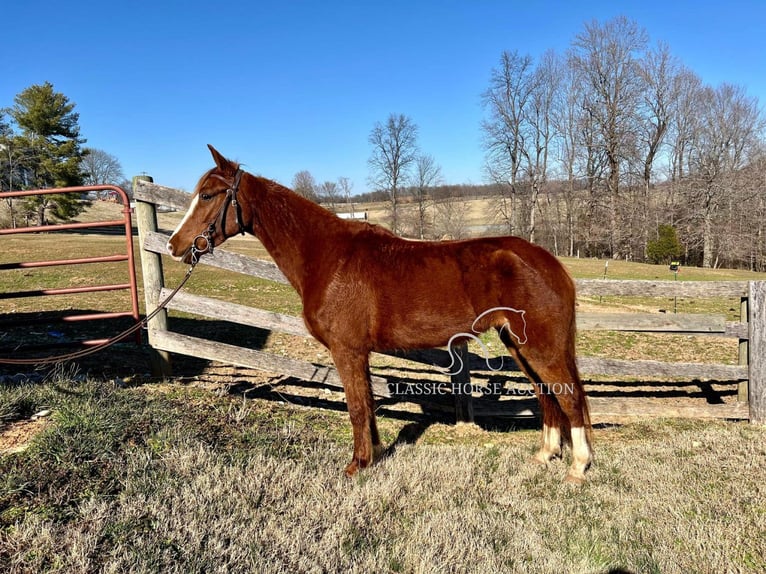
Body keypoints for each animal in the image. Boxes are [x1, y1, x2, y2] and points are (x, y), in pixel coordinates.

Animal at [166, 146, 592, 484]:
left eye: (207, 195)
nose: (175, 245)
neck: (328, 257)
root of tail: (550, 263)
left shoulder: (347, 349)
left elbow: (356, 407)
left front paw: (356, 466)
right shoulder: (360, 352)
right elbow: (368, 404)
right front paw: (373, 456)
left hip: (541, 347)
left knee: (569, 397)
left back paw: (577, 468)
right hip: (519, 345)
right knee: (548, 396)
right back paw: (545, 456)